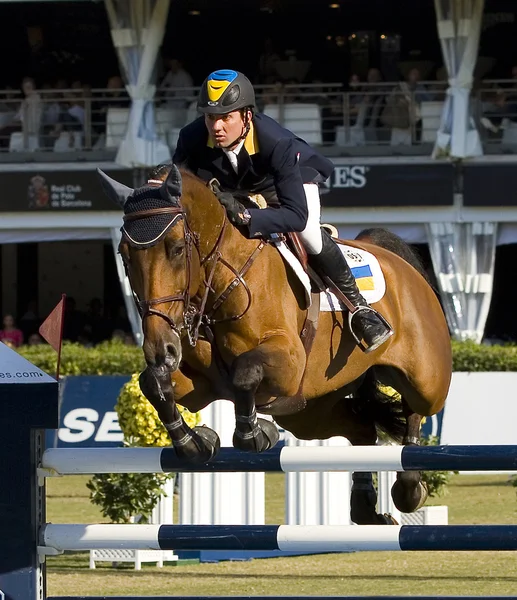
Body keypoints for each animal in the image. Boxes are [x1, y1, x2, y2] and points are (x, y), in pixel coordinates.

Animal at [98, 165, 452, 524]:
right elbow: (153, 384)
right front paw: (195, 442)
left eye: (176, 249)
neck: (221, 280)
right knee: (363, 430)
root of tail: (399, 263)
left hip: (425, 380)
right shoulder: (203, 385)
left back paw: (409, 488)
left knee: (416, 410)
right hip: (307, 411)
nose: (160, 349)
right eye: (123, 255)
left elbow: (245, 373)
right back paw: (366, 507)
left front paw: (255, 434)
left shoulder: (289, 363)